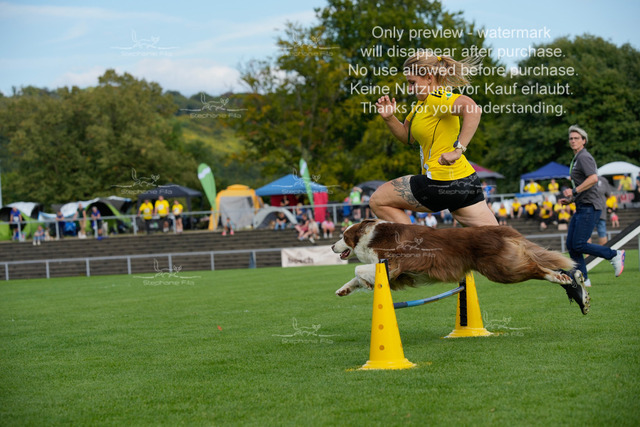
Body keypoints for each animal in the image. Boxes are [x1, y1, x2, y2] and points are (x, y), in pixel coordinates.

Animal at [331, 219, 575, 296]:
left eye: (343, 236)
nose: (332, 246)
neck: (372, 237)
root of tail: (499, 229)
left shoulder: (394, 264)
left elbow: (357, 270)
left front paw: (365, 282)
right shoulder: (397, 273)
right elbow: (355, 276)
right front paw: (344, 289)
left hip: (502, 269)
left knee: (535, 267)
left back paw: (560, 278)